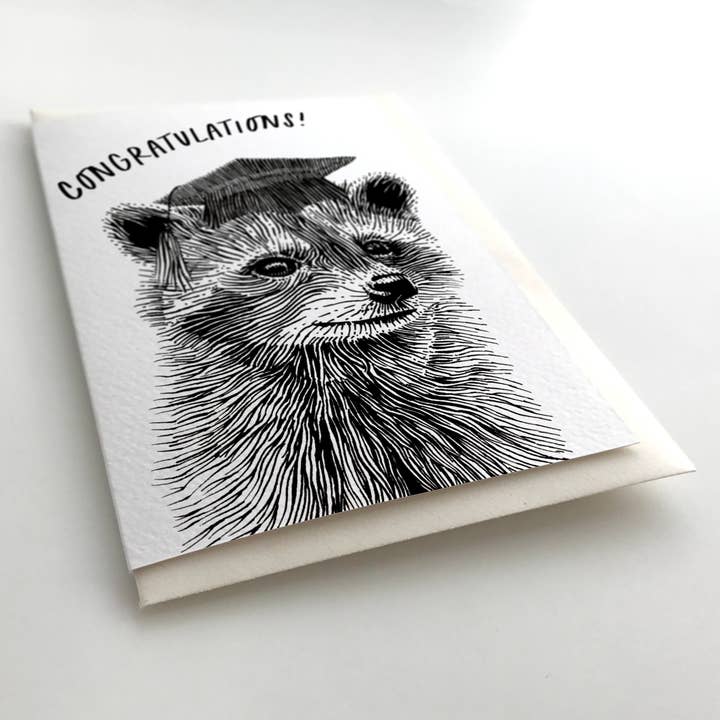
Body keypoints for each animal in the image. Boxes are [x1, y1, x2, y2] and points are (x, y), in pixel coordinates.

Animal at [106, 170, 566, 550]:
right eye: (276, 265)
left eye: (377, 246)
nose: (393, 285)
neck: (346, 364)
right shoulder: (267, 475)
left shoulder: (474, 427)